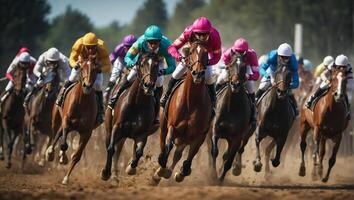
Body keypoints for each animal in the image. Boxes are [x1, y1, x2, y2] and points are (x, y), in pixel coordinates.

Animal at [45, 54, 99, 184]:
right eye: (82, 67)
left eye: (96, 69)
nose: (87, 86)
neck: (82, 102)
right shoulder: (66, 121)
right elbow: (64, 144)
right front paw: (60, 157)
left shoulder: (87, 132)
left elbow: (76, 155)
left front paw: (66, 178)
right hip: (56, 119)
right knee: (56, 134)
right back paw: (50, 153)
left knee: (61, 134)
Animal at [100, 52, 160, 182]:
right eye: (142, 64)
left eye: (156, 65)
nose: (148, 85)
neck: (137, 103)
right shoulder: (117, 127)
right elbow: (111, 148)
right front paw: (105, 173)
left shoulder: (142, 134)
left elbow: (139, 152)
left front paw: (130, 168)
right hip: (109, 129)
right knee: (111, 147)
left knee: (121, 150)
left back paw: (116, 175)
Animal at [153, 41, 213, 183]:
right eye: (190, 52)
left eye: (206, 53)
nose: (198, 73)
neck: (191, 101)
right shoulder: (173, 126)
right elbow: (167, 147)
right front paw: (161, 168)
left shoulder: (199, 136)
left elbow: (188, 159)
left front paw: (180, 173)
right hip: (163, 126)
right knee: (163, 143)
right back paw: (159, 172)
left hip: (185, 138)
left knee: (178, 154)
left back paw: (169, 171)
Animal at [209, 50, 253, 182]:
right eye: (230, 65)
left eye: (244, 66)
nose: (235, 84)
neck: (232, 107)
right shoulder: (215, 129)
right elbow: (214, 151)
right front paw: (213, 175)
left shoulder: (237, 138)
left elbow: (229, 160)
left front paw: (220, 179)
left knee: (234, 152)